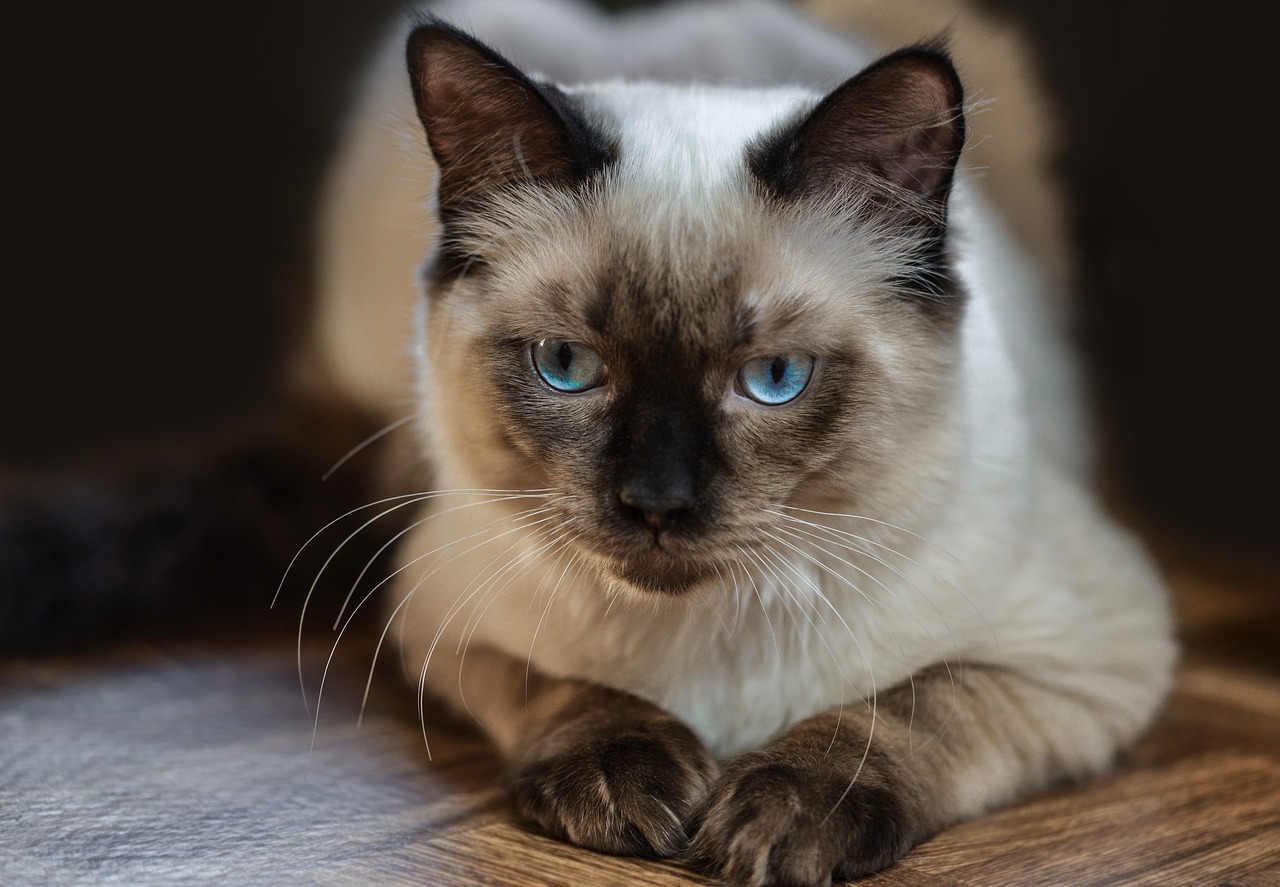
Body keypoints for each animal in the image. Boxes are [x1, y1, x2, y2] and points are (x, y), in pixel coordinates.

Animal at [307, 1, 1172, 885]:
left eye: (774, 377)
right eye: (567, 365)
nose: (656, 503)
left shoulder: (1088, 657)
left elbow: (909, 703)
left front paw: (782, 816)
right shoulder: (442, 623)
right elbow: (558, 684)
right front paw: (626, 780)